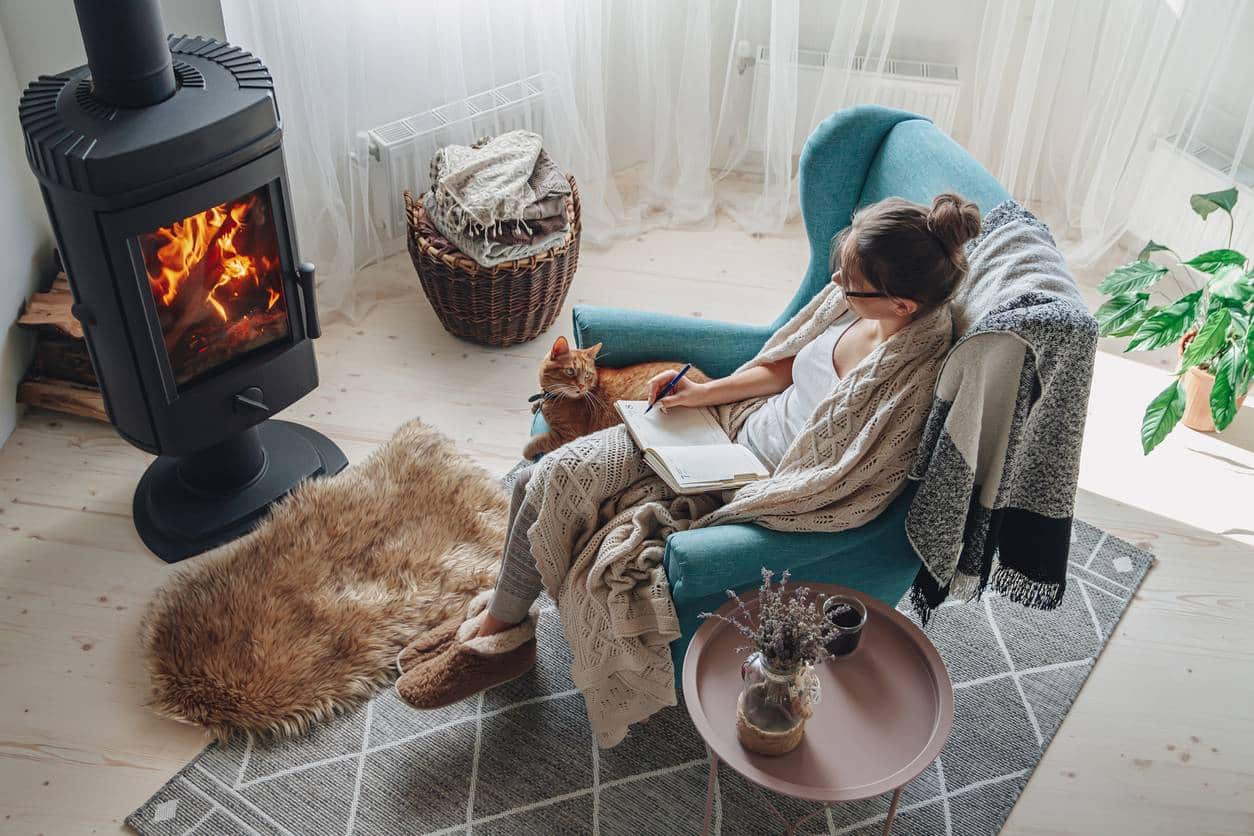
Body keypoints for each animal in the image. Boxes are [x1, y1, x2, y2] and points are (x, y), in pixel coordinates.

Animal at [524, 335, 712, 461]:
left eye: (587, 375)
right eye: (570, 371)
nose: (581, 387)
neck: (553, 397)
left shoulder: (568, 435)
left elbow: (539, 441)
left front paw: (528, 451)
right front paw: (536, 405)